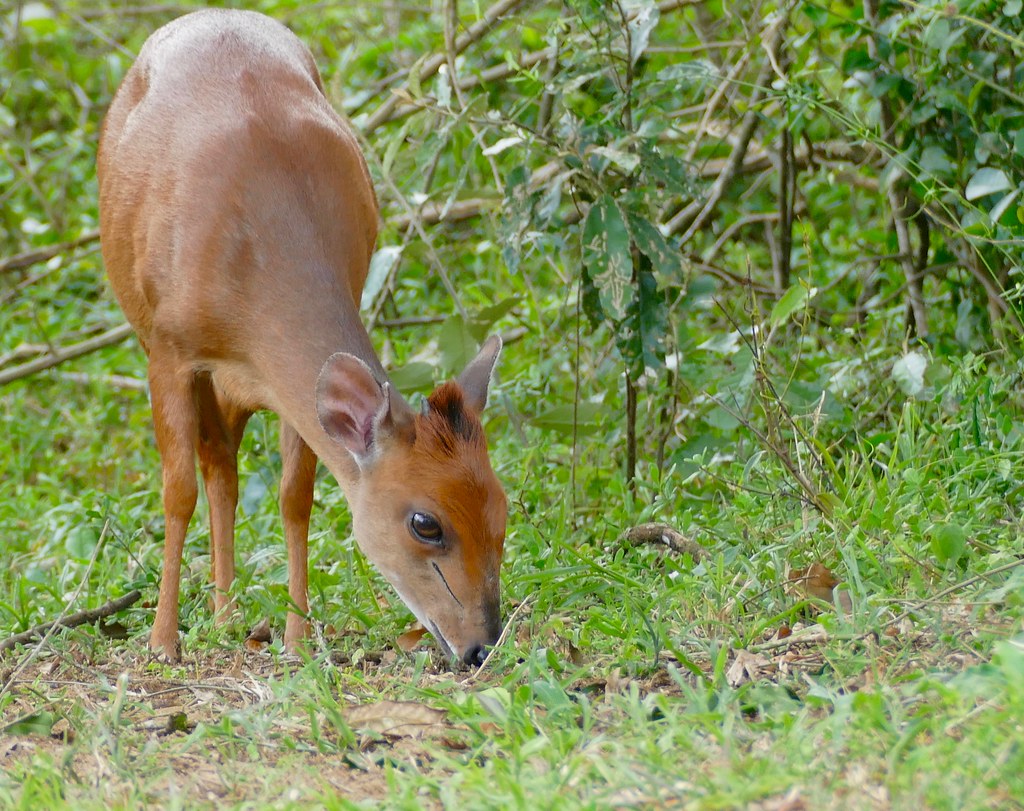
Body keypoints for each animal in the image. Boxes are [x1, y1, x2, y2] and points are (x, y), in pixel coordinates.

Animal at [97, 7, 505, 663]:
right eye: (426, 523)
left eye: (502, 509)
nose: (481, 647)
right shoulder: (170, 347)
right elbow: (175, 490)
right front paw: (161, 642)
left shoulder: (291, 381)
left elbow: (295, 497)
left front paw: (296, 638)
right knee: (212, 464)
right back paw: (214, 616)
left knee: (224, 463)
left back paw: (226, 613)